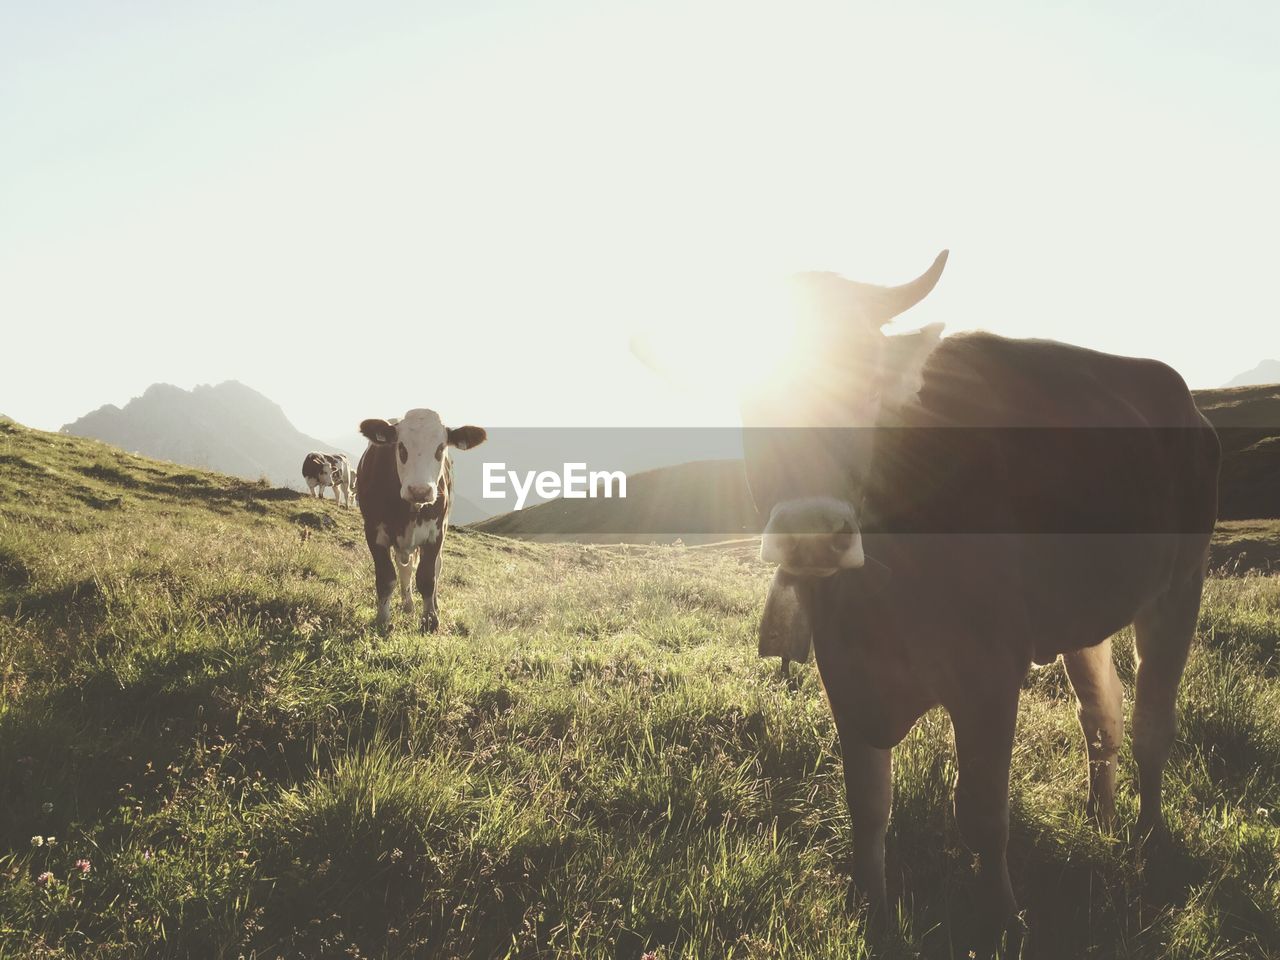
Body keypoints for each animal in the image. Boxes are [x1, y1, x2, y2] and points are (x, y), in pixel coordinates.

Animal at [355, 409, 483, 634]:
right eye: (400, 446)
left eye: (441, 448)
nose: (419, 490)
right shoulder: (373, 530)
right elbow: (386, 578)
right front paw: (383, 620)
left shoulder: (436, 533)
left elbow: (427, 578)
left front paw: (430, 621)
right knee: (403, 568)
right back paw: (407, 605)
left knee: (436, 567)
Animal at [737, 253, 1213, 931]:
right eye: (746, 397)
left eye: (866, 384)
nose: (811, 533)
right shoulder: (846, 676)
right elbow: (868, 807)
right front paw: (875, 915)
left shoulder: (989, 674)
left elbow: (983, 813)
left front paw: (1004, 921)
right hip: (1082, 617)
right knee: (1102, 715)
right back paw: (1102, 821)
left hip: (1178, 587)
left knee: (1152, 721)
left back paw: (1147, 838)